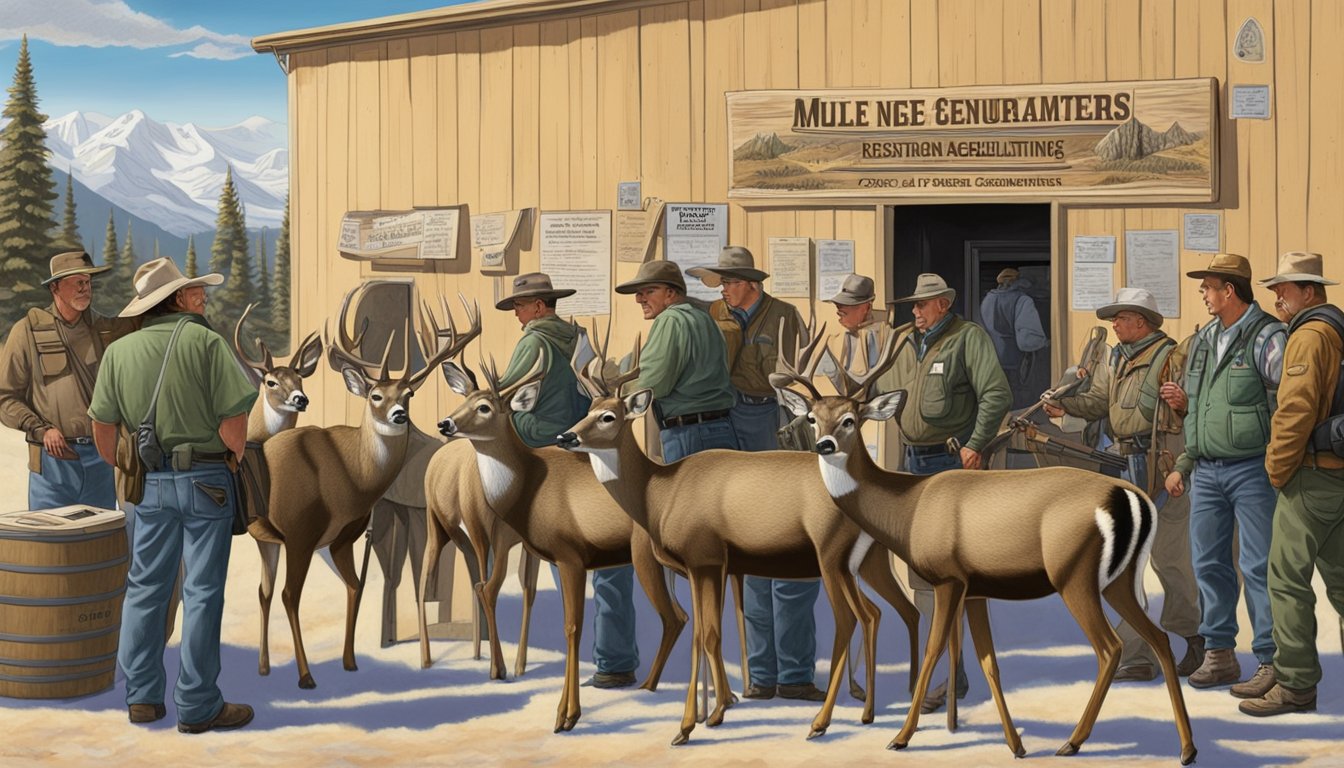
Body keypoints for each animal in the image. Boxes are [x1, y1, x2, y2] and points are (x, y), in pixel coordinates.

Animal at [249, 287, 481, 688]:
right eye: (375, 395)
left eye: (408, 395)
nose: (399, 415)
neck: (351, 477)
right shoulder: (302, 533)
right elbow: (295, 595)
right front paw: (309, 675)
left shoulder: (344, 536)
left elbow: (356, 586)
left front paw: (350, 661)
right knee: (283, 593)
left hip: (271, 540)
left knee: (265, 593)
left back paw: (263, 667)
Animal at [424, 347, 688, 731]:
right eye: (464, 400)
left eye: (485, 407)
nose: (445, 423)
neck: (530, 484)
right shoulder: (546, 554)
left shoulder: (570, 555)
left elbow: (572, 627)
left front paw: (566, 716)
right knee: (682, 615)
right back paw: (652, 686)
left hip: (644, 557)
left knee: (673, 616)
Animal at [556, 330, 924, 747]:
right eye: (588, 409)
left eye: (608, 416)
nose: (566, 436)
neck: (660, 494)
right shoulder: (708, 566)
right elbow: (705, 632)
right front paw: (716, 710)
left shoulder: (704, 556)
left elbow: (706, 634)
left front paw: (690, 724)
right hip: (869, 560)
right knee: (885, 612)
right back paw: (870, 710)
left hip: (830, 554)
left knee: (850, 618)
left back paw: (823, 721)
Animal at [768, 330, 1198, 763]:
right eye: (813, 417)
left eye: (850, 420)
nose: (823, 445)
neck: (908, 510)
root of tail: (1134, 498)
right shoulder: (976, 589)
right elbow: (988, 660)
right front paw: (1015, 744)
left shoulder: (948, 578)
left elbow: (934, 650)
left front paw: (902, 736)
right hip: (1118, 580)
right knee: (1159, 638)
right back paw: (1186, 749)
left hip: (1074, 574)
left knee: (1110, 647)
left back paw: (1073, 742)